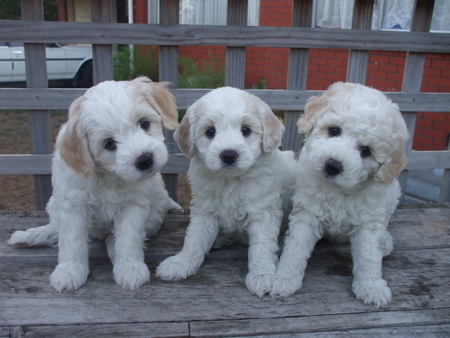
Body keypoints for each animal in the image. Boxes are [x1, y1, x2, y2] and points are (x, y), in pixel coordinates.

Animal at [7, 76, 180, 290]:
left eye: (144, 123)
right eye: (109, 144)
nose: (145, 159)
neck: (109, 176)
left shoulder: (134, 204)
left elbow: (129, 236)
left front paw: (130, 268)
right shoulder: (72, 204)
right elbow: (72, 240)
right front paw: (69, 272)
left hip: (155, 210)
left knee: (116, 235)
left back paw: (113, 247)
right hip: (54, 203)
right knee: (57, 228)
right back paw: (31, 236)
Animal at [156, 86, 298, 296]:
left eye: (246, 130)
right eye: (210, 131)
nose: (229, 155)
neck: (230, 181)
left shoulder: (262, 211)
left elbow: (262, 246)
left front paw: (262, 276)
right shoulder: (204, 209)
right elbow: (194, 238)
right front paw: (181, 263)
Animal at [268, 82, 410, 308]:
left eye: (366, 151)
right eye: (334, 130)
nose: (333, 165)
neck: (339, 189)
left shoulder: (368, 221)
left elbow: (369, 256)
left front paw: (372, 287)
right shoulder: (308, 213)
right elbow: (296, 247)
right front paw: (284, 279)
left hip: (393, 194)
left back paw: (385, 241)